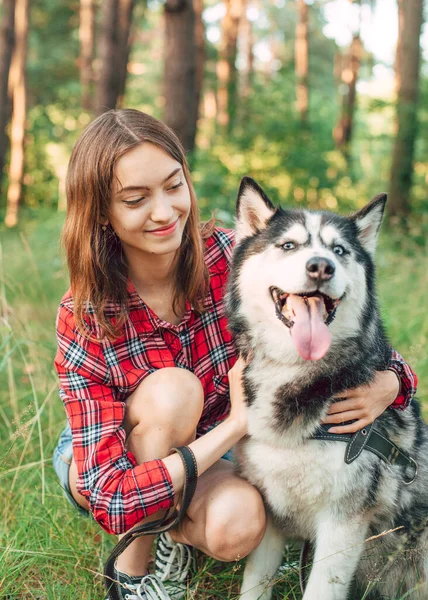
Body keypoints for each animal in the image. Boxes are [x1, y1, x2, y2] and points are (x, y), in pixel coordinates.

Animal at [226, 178, 426, 600]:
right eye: (288, 245)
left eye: (339, 251)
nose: (321, 266)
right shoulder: (271, 515)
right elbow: (254, 584)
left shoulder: (342, 525)